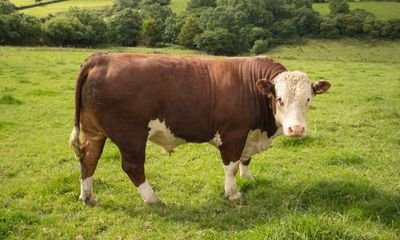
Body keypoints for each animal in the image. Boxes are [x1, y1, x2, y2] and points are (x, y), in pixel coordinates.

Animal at [69, 54, 332, 204]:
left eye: (308, 99)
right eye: (279, 99)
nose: (296, 129)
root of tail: (102, 58)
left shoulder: (249, 135)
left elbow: (245, 160)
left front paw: (248, 178)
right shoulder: (233, 133)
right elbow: (231, 165)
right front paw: (233, 193)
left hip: (94, 131)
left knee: (89, 158)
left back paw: (88, 196)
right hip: (131, 134)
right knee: (132, 167)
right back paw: (153, 199)